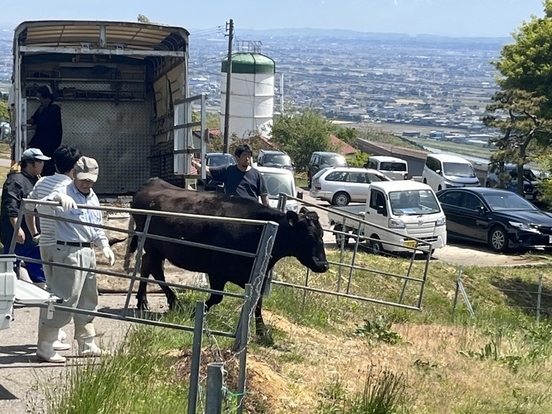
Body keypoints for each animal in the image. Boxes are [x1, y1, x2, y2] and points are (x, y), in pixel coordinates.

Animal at [129, 178, 328, 336]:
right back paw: (171, 302)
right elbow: (217, 297)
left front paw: (263, 332)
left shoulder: (258, 277)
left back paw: (145, 301)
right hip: (152, 245)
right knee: (154, 268)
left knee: (148, 266)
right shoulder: (217, 271)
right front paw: (195, 312)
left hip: (156, 248)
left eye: (322, 234)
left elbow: (257, 302)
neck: (257, 229)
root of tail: (152, 183)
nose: (324, 264)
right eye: (308, 236)